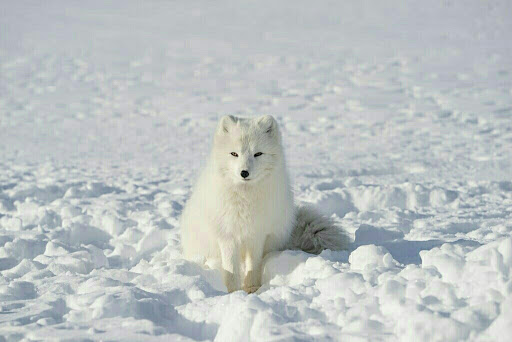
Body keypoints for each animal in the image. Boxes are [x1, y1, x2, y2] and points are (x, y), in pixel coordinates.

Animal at [179, 115, 348, 292]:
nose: (244, 172)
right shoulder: (227, 235)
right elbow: (231, 269)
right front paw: (233, 292)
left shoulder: (257, 234)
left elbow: (253, 265)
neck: (245, 199)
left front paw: (252, 288)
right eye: (234, 153)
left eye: (258, 154)